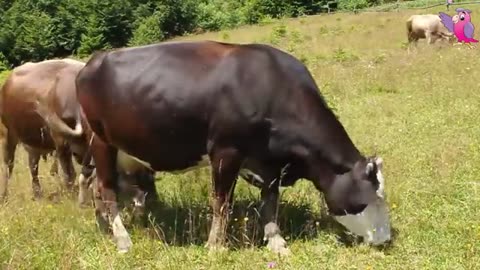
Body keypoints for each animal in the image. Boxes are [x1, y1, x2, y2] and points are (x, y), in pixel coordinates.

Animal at [66, 39, 390, 253]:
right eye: (371, 198)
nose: (386, 240)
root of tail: (91, 62)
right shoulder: (225, 151)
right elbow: (222, 202)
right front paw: (215, 246)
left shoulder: (268, 161)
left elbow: (270, 201)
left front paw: (276, 242)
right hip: (101, 141)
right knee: (107, 189)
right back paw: (122, 239)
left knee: (96, 186)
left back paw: (104, 227)